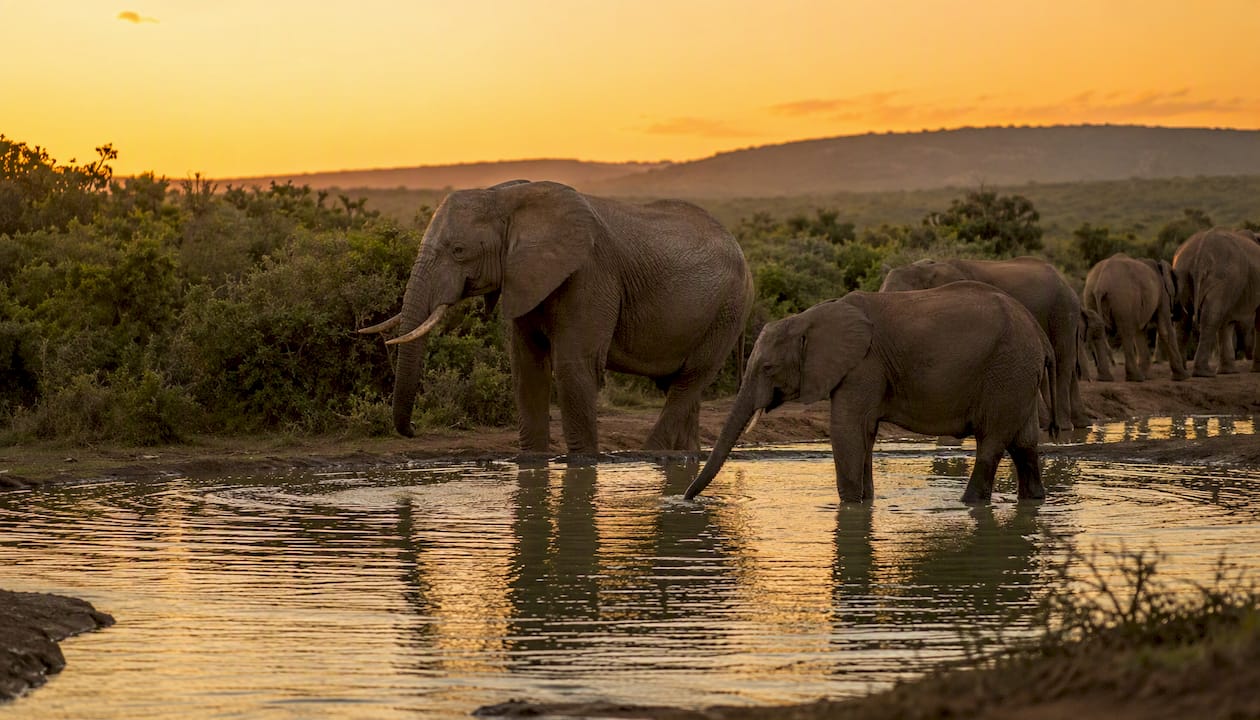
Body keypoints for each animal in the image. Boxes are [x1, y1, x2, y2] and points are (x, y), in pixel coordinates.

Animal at [359, 180, 754, 456]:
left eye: (458, 251)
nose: (413, 430)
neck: (507, 198)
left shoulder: (590, 274)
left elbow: (573, 367)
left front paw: (582, 465)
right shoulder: (525, 277)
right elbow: (526, 367)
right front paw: (532, 461)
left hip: (728, 311)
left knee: (690, 380)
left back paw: (649, 457)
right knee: (682, 388)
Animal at [684, 281, 1056, 504]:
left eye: (767, 368)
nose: (686, 499)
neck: (810, 317)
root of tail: (1039, 332)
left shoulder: (864, 364)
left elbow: (847, 430)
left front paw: (849, 506)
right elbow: (865, 433)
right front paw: (866, 502)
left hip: (1006, 371)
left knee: (991, 443)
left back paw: (969, 503)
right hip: (1018, 376)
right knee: (1025, 444)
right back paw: (1034, 500)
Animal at [879, 256, 1087, 430]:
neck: (924, 268)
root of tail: (1067, 284)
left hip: (1063, 310)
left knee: (1062, 360)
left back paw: (1064, 427)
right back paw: (1072, 423)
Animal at [1082, 253, 1189, 382]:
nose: (1177, 314)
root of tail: (1100, 285)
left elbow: (1140, 331)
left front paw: (1147, 376)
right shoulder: (1162, 294)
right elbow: (1165, 330)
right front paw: (1183, 377)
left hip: (1090, 296)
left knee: (1100, 333)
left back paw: (1105, 379)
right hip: (1124, 297)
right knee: (1126, 332)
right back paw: (1136, 378)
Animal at [1172, 227, 1260, 376]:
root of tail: (1200, 254)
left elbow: (1226, 322)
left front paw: (1227, 372)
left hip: (1182, 273)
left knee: (1184, 321)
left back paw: (1181, 373)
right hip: (1222, 276)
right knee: (1210, 318)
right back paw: (1204, 373)